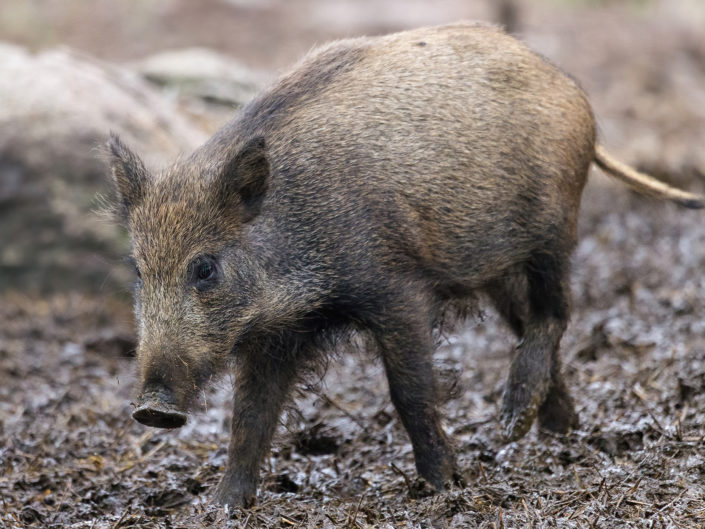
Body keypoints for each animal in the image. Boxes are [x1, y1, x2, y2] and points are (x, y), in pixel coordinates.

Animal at [106, 22, 704, 507]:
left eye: (205, 268)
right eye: (137, 270)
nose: (151, 407)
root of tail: (573, 91)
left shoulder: (395, 290)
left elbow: (410, 390)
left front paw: (445, 485)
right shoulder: (276, 333)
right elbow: (250, 416)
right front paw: (224, 507)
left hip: (554, 231)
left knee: (556, 313)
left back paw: (511, 425)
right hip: (498, 265)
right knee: (531, 326)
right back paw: (554, 432)